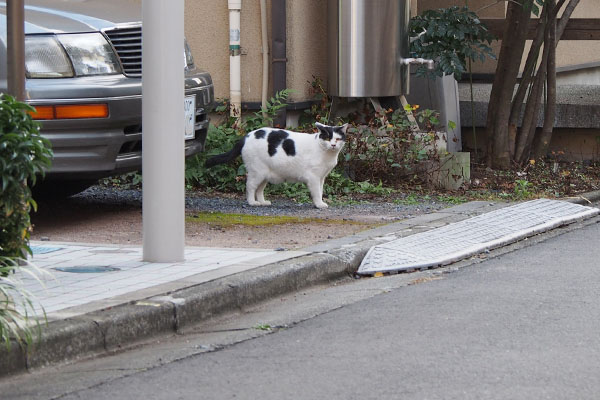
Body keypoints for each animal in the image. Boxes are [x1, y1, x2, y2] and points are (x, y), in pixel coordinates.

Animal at [206, 122, 346, 209]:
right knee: (250, 186)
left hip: (265, 175)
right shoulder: (314, 178)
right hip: (257, 172)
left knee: (259, 189)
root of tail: (246, 136)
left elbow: (321, 191)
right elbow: (317, 192)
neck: (327, 154)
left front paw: (320, 202)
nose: (333, 145)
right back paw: (252, 202)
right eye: (327, 138)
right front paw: (319, 204)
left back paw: (262, 202)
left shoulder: (321, 177)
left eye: (338, 139)